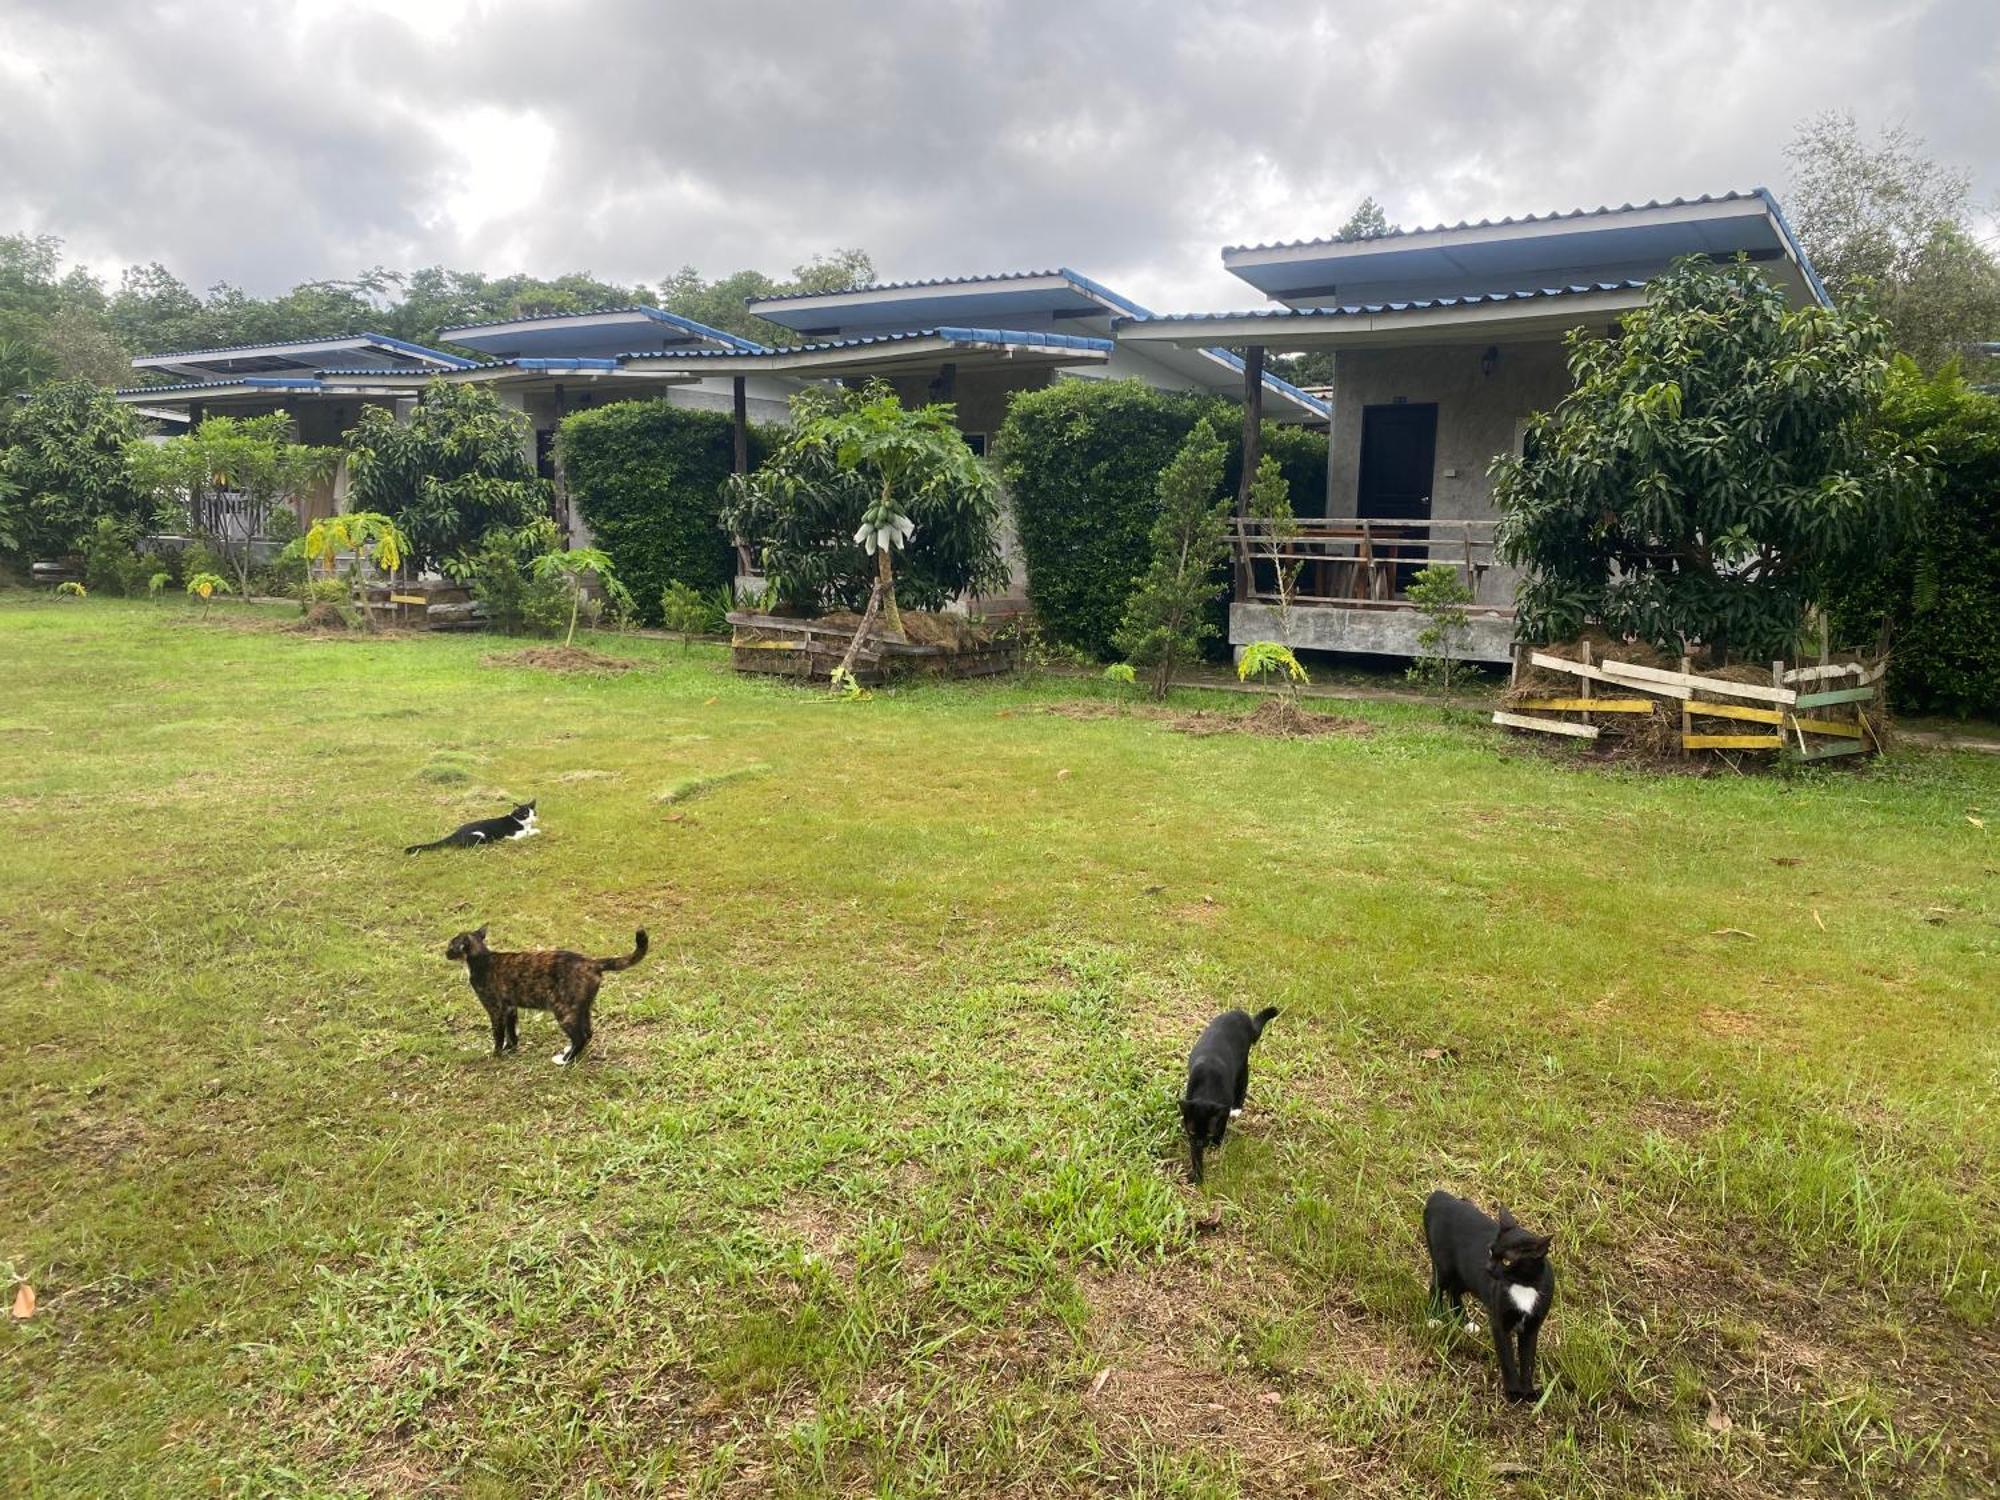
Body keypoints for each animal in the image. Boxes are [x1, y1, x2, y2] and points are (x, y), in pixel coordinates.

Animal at [446, 928, 648, 1072]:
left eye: (451, 946)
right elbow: (512, 1033)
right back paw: (569, 1053)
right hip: (582, 1008)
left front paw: (496, 1054)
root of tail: (592, 962)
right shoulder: (510, 1008)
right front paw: (511, 1049)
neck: (481, 959)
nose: (445, 952)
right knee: (588, 1032)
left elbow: (498, 1034)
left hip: (563, 1010)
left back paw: (565, 1060)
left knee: (581, 1037)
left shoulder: (496, 1010)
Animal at [1168, 1012, 1280, 1184]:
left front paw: (1217, 1142)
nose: (1201, 1143)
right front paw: (1197, 1175)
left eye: (1208, 1133)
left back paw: (1237, 1109)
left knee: (1243, 1083)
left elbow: (1221, 1124)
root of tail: (1241, 1014)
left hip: (1242, 1064)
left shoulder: (1223, 1108)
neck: (1206, 1091)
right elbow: (1196, 1155)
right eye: (1192, 1131)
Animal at [1424, 1192, 1560, 1408]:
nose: (1487, 1267)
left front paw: (1528, 1392)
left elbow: (1528, 1359)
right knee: (1436, 1286)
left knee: (1454, 1291)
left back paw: (1464, 1322)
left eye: (1507, 1260)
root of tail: (1440, 1196)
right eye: (1490, 1250)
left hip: (1466, 1275)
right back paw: (1434, 1318)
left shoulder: (1532, 1326)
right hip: (1444, 1266)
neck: (1524, 1285)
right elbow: (1507, 1357)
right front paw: (1513, 1392)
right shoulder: (1499, 1322)